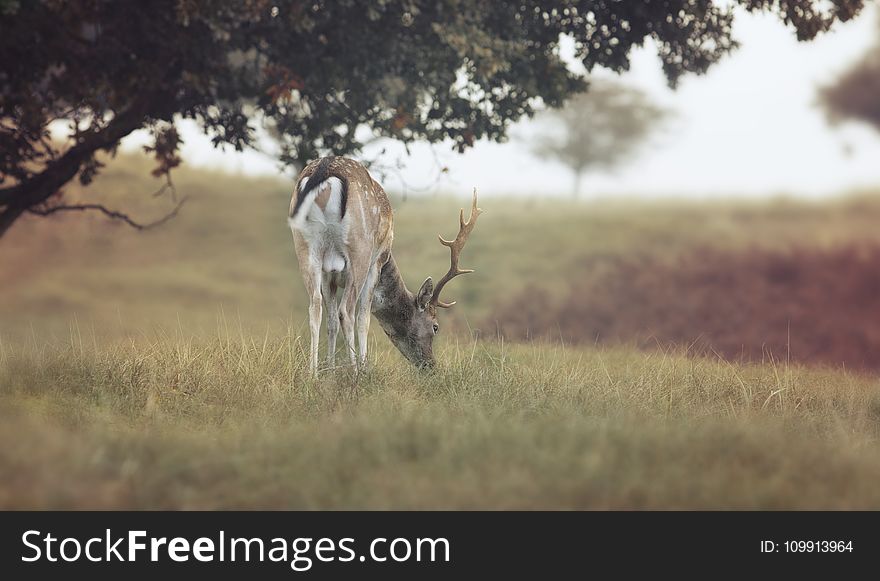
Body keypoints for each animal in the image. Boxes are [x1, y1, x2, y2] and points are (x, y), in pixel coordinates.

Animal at [288, 154, 482, 374]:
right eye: (435, 326)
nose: (431, 365)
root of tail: (325, 169)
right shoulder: (377, 263)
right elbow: (363, 317)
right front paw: (363, 368)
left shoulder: (329, 276)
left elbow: (331, 322)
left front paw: (330, 371)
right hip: (360, 250)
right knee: (346, 311)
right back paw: (355, 373)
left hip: (305, 247)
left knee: (315, 306)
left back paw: (312, 375)